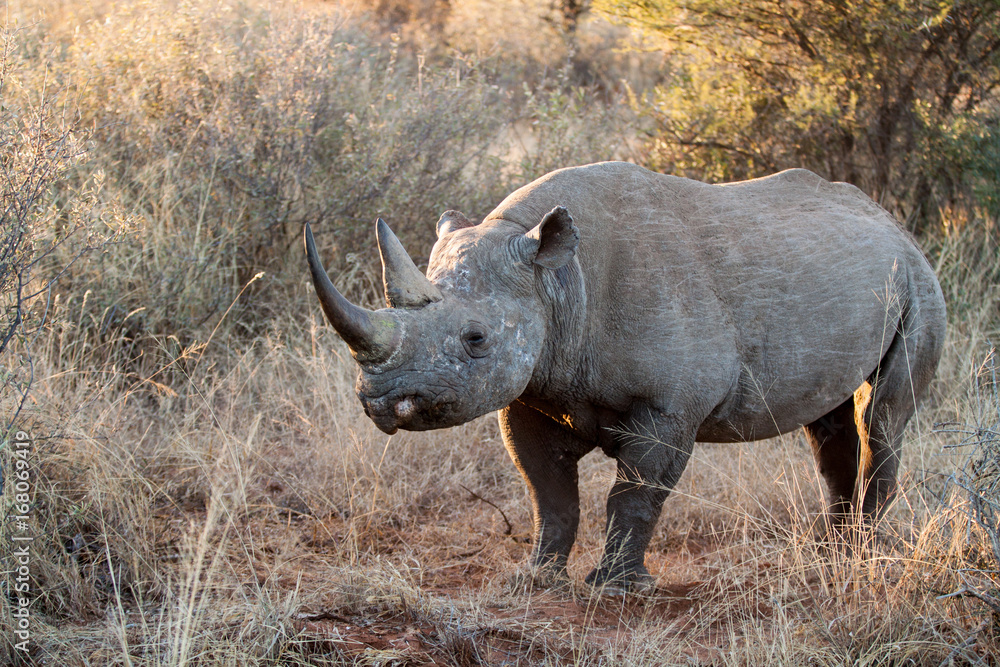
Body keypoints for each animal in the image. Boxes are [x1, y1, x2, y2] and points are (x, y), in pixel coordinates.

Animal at [304, 161, 946, 588]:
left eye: (476, 339)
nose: (380, 402)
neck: (556, 280)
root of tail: (890, 221)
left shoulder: (669, 406)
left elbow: (636, 494)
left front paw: (616, 588)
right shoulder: (532, 391)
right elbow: (549, 493)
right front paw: (536, 578)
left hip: (918, 279)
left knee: (884, 416)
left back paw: (866, 556)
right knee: (828, 423)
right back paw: (831, 553)